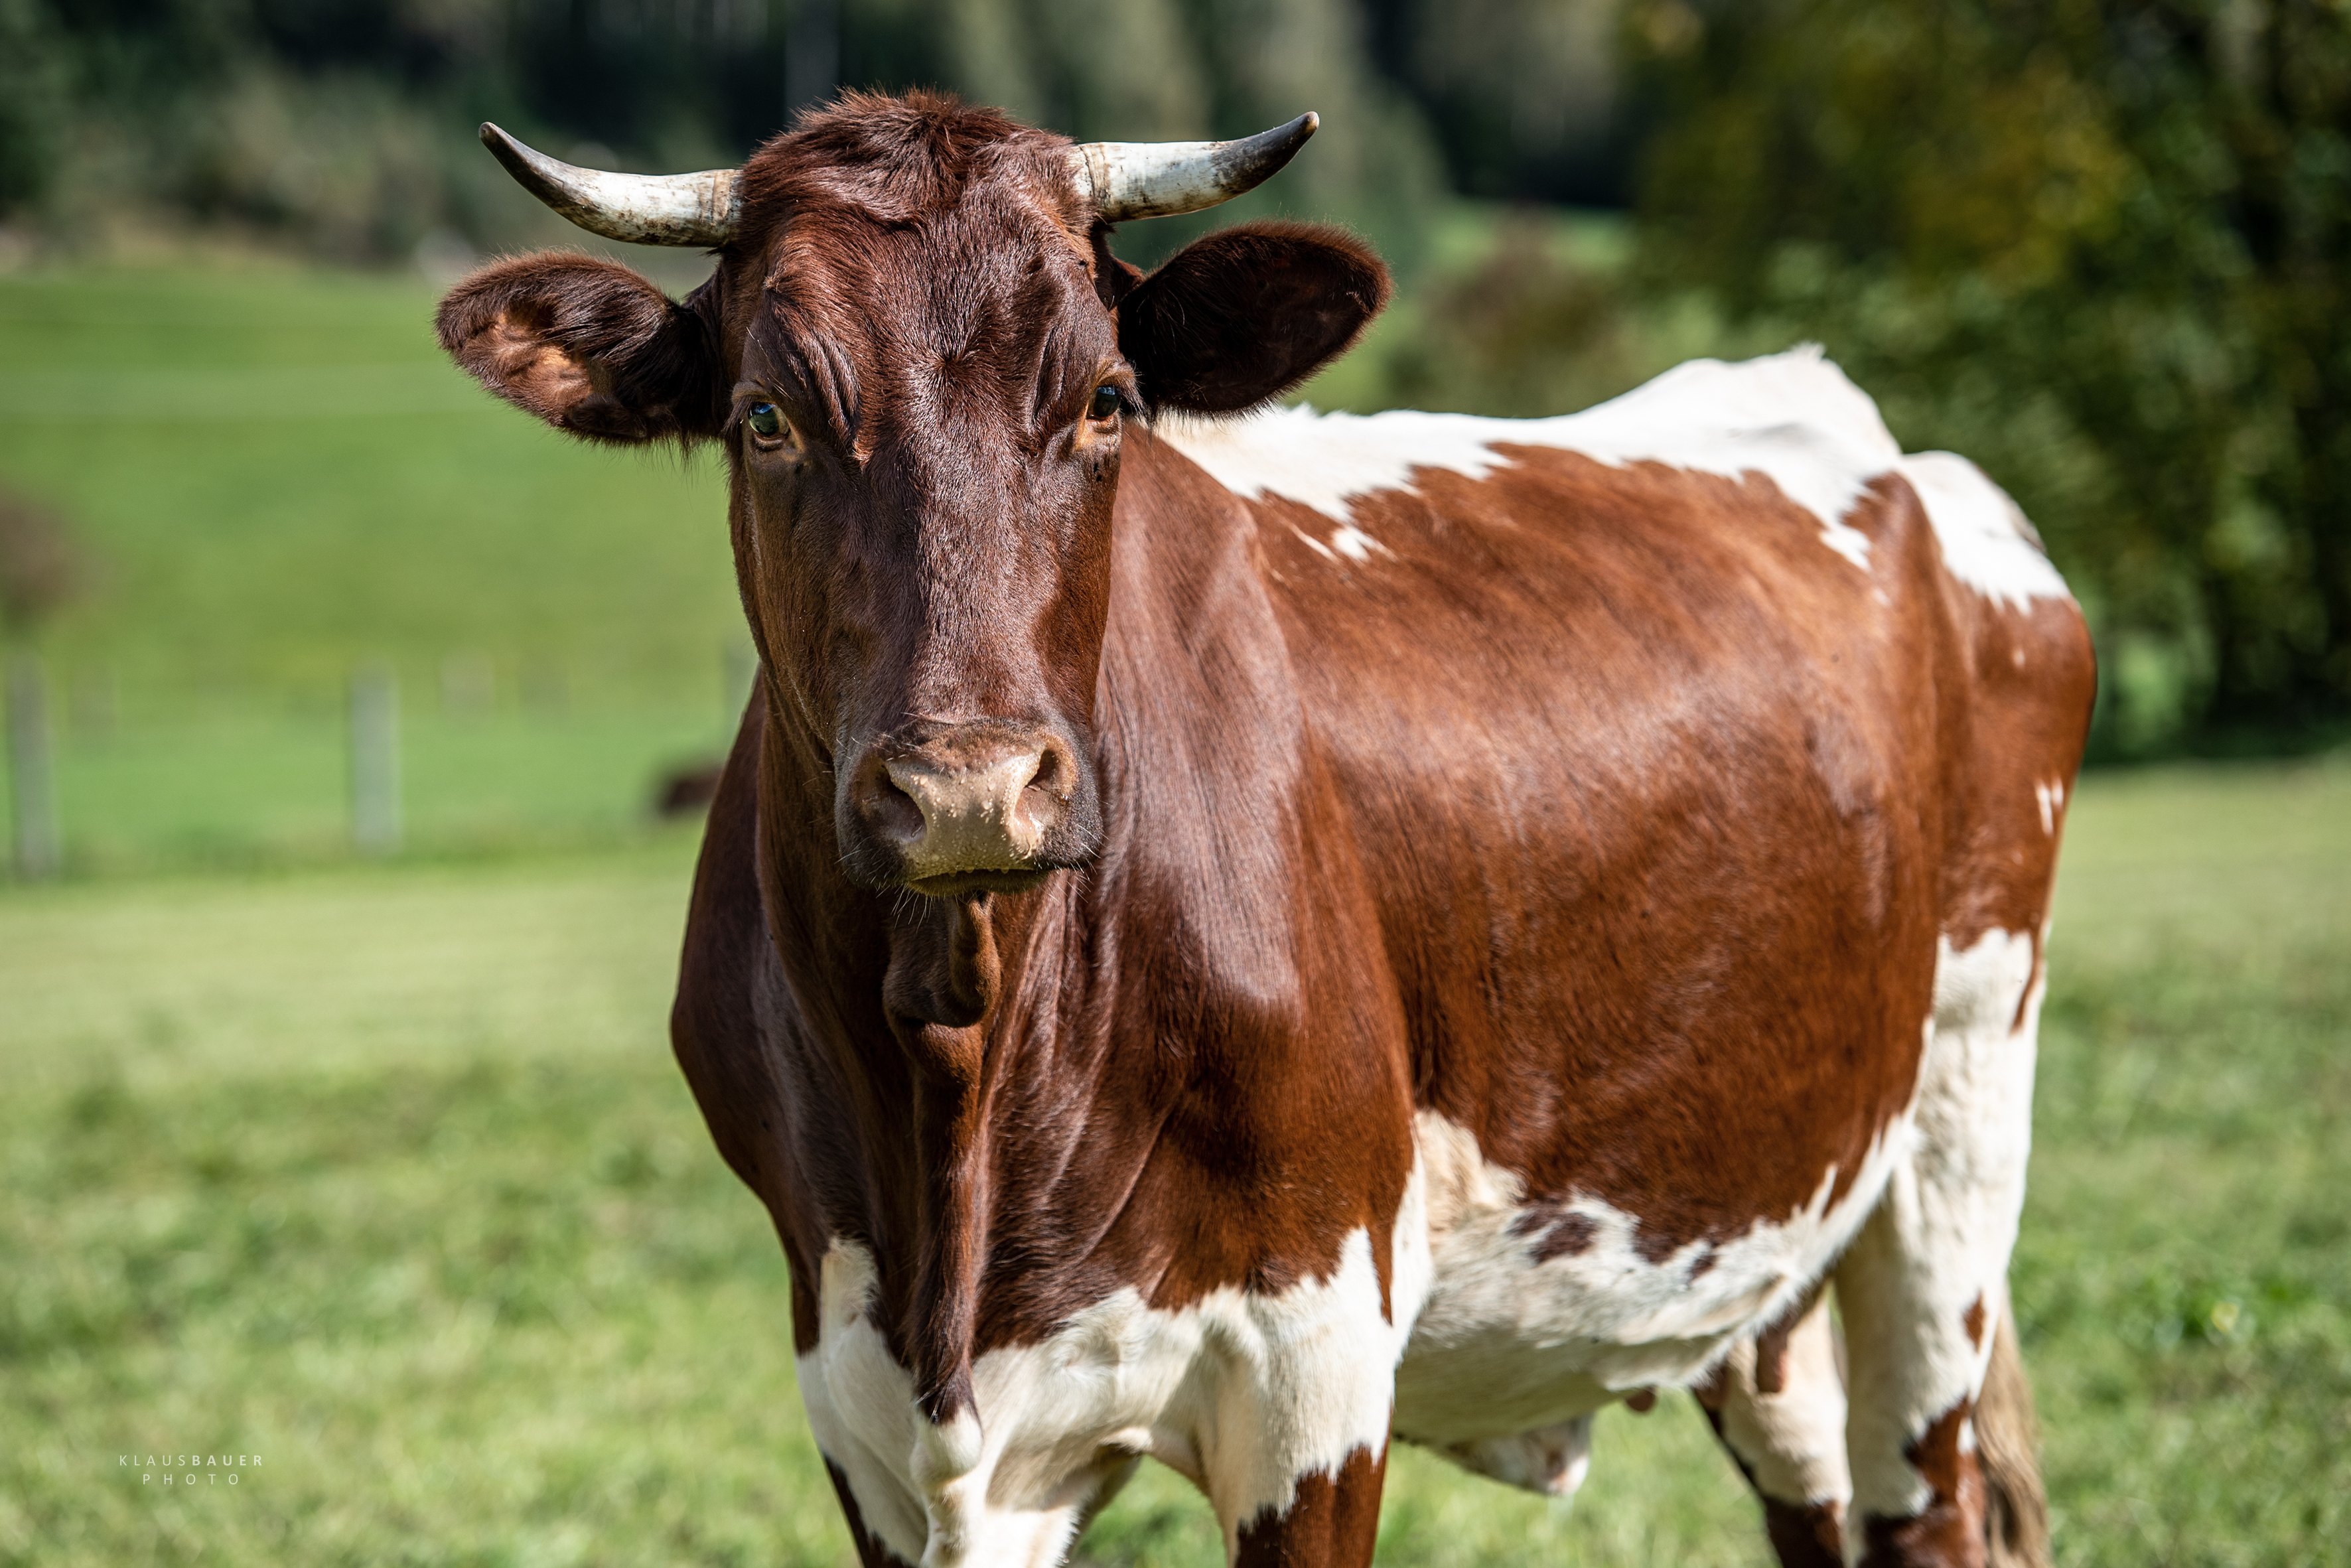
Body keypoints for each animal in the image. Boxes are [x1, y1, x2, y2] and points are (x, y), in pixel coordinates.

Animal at [437, 92, 2092, 1568]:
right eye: (766, 416)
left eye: (1104, 400)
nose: (970, 782)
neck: (961, 1088)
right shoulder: (858, 1391)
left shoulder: (1313, 1356)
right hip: (1765, 1240)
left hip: (1957, 1124)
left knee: (1928, 1504)